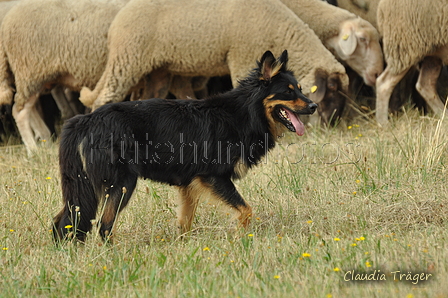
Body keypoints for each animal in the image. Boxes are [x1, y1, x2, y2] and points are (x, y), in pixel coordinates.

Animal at [52, 50, 316, 242]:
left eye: (300, 89)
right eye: (288, 92)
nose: (314, 106)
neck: (243, 113)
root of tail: (86, 119)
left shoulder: (190, 185)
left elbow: (185, 223)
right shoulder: (214, 177)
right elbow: (246, 210)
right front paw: (241, 238)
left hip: (83, 189)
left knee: (62, 222)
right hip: (121, 185)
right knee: (104, 226)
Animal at [79, 0, 348, 124]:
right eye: (331, 90)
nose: (331, 124)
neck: (279, 27)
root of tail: (117, 20)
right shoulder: (241, 57)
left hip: (158, 71)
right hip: (128, 58)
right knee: (104, 96)